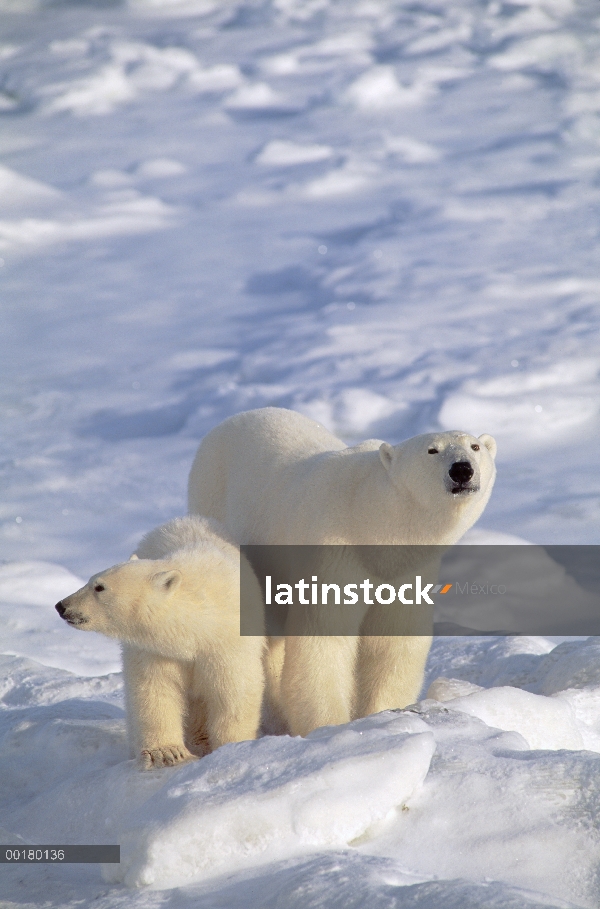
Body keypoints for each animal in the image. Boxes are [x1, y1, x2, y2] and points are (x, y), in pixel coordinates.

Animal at [55, 516, 264, 768]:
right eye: (91, 581)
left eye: (99, 587)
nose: (62, 606)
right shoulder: (154, 650)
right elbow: (154, 689)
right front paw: (166, 753)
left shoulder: (227, 644)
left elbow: (234, 692)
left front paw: (233, 747)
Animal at [189, 408, 496, 736]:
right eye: (432, 450)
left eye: (475, 446)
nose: (462, 470)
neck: (370, 519)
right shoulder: (334, 551)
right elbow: (324, 636)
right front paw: (329, 725)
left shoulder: (407, 572)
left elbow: (393, 641)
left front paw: (381, 713)